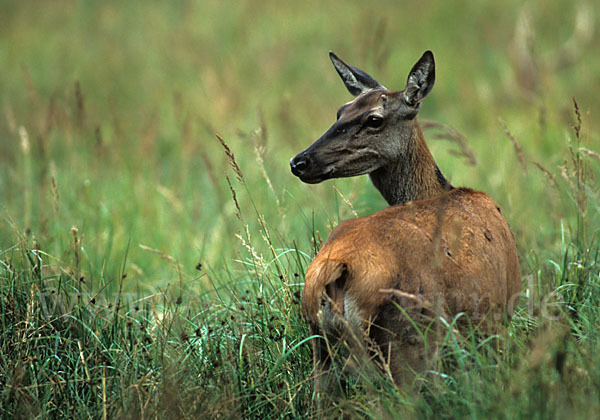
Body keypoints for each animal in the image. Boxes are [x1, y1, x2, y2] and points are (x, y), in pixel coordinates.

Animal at [290, 50, 520, 396]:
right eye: (341, 112)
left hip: (320, 346)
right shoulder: (501, 312)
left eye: (373, 119)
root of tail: (334, 269)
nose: (299, 162)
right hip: (411, 335)